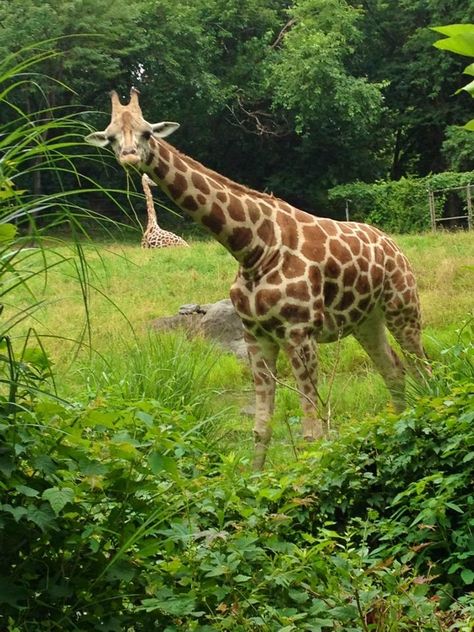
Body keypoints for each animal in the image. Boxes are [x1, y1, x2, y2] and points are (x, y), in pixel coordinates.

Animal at [85, 87, 430, 470]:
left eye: (147, 132)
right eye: (111, 137)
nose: (130, 157)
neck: (252, 247)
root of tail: (393, 244)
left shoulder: (299, 333)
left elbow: (312, 430)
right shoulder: (256, 337)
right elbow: (260, 427)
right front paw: (255, 479)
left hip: (403, 307)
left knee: (424, 369)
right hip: (366, 320)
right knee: (394, 370)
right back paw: (395, 430)